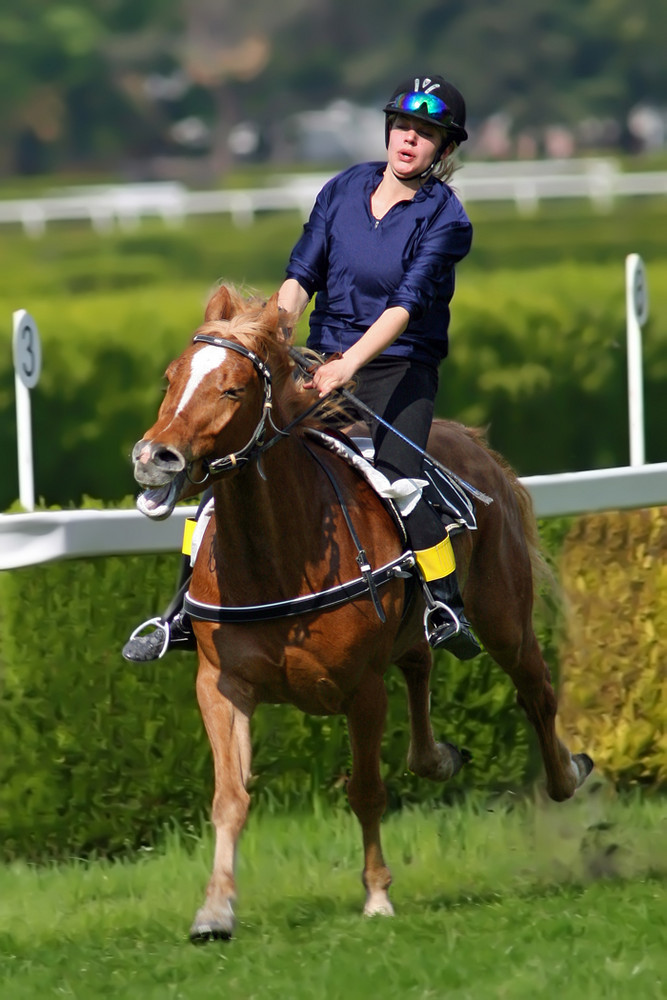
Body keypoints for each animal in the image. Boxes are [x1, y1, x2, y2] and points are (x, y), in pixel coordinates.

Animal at [132, 286, 596, 940]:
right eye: (172, 378)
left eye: (232, 389)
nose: (155, 458)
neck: (281, 553)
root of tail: (471, 442)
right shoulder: (222, 684)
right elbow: (230, 797)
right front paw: (215, 908)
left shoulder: (361, 689)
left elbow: (367, 790)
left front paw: (377, 894)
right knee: (421, 661)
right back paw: (437, 756)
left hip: (506, 617)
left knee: (535, 688)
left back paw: (565, 773)